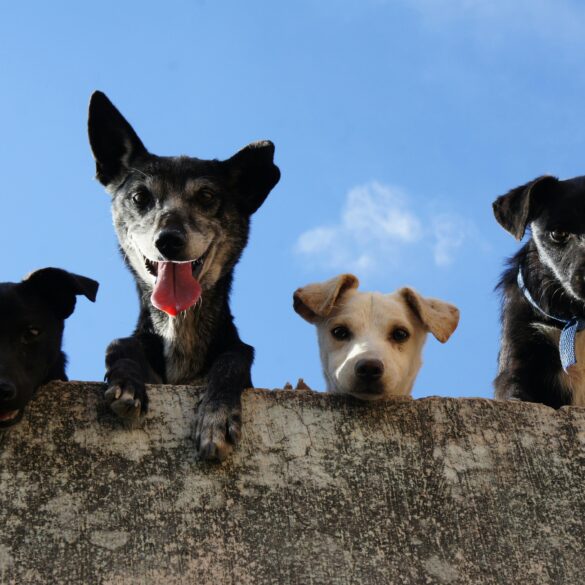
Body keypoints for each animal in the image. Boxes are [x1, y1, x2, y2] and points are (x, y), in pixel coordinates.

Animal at [85, 90, 280, 460]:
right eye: (140, 197)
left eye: (206, 196)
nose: (168, 240)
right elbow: (119, 344)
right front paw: (126, 382)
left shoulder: (236, 356)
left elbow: (233, 359)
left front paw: (217, 416)